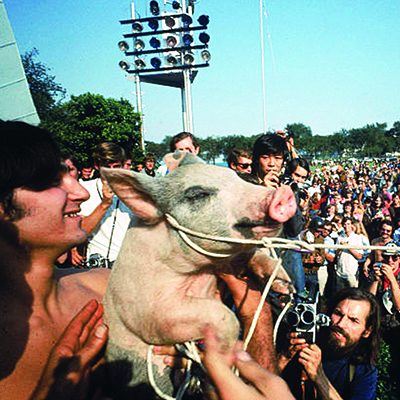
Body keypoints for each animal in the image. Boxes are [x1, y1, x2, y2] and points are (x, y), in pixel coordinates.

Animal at [101, 152, 296, 398]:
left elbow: (250, 256)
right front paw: (225, 355)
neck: (199, 272)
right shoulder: (148, 311)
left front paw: (285, 284)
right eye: (198, 194)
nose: (283, 193)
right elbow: (223, 316)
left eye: (236, 177)